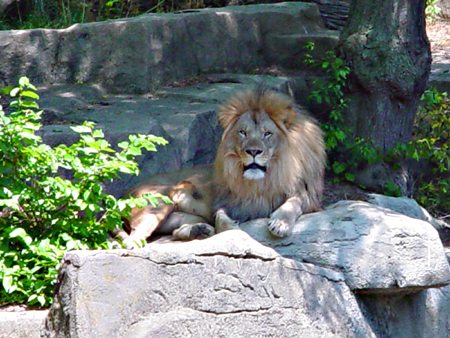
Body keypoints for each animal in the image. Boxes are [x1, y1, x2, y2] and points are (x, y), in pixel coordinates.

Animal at [118, 88, 324, 248]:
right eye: (243, 132)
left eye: (267, 133)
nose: (253, 151)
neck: (267, 177)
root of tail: (123, 195)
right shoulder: (229, 202)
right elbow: (220, 218)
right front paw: (232, 228)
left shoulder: (308, 195)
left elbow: (293, 203)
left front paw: (280, 223)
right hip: (158, 204)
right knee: (133, 239)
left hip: (182, 215)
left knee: (173, 231)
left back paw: (198, 230)